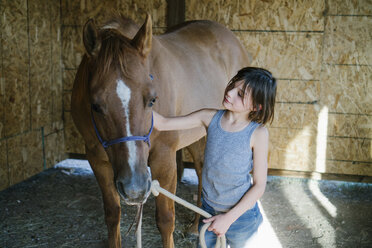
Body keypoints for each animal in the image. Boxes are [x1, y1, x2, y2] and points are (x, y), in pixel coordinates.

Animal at [70, 14, 250, 248]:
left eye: (152, 100)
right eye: (95, 105)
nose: (135, 188)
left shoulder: (164, 159)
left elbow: (165, 220)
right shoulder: (97, 160)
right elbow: (112, 215)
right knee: (201, 168)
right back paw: (196, 227)